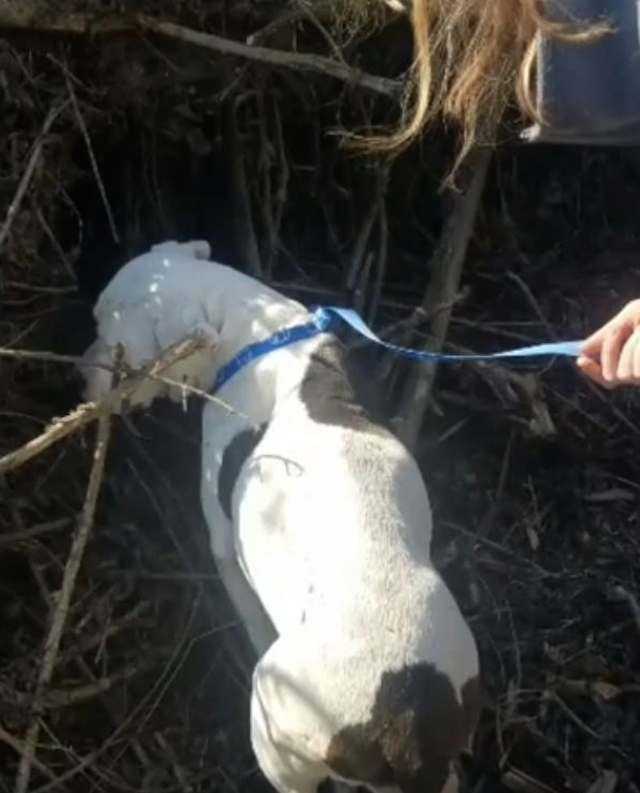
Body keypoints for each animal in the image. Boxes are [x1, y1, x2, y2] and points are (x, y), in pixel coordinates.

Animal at [80, 238, 480, 792]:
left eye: (107, 332)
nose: (81, 373)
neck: (259, 335)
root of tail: (403, 723)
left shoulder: (225, 545)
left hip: (276, 727)